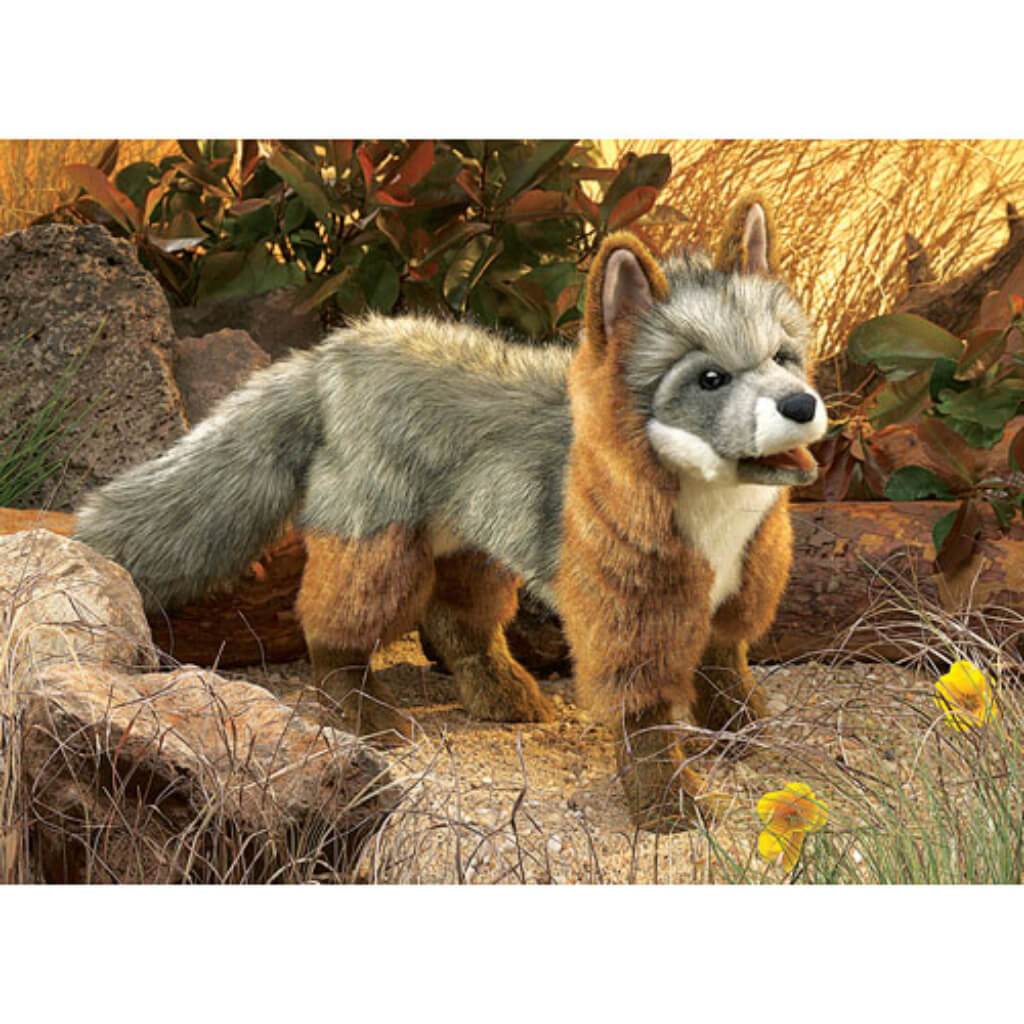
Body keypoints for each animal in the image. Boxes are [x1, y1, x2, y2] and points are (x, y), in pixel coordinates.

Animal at [74, 196, 828, 831]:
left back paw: (502, 696)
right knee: (329, 630)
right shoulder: (631, 618)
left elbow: (726, 669)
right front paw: (665, 803)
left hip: (471, 546)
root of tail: (337, 346)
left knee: (456, 624)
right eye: (710, 379)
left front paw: (739, 732)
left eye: (784, 357)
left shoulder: (731, 599)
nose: (801, 405)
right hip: (378, 548)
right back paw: (364, 718)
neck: (718, 526)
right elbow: (646, 724)